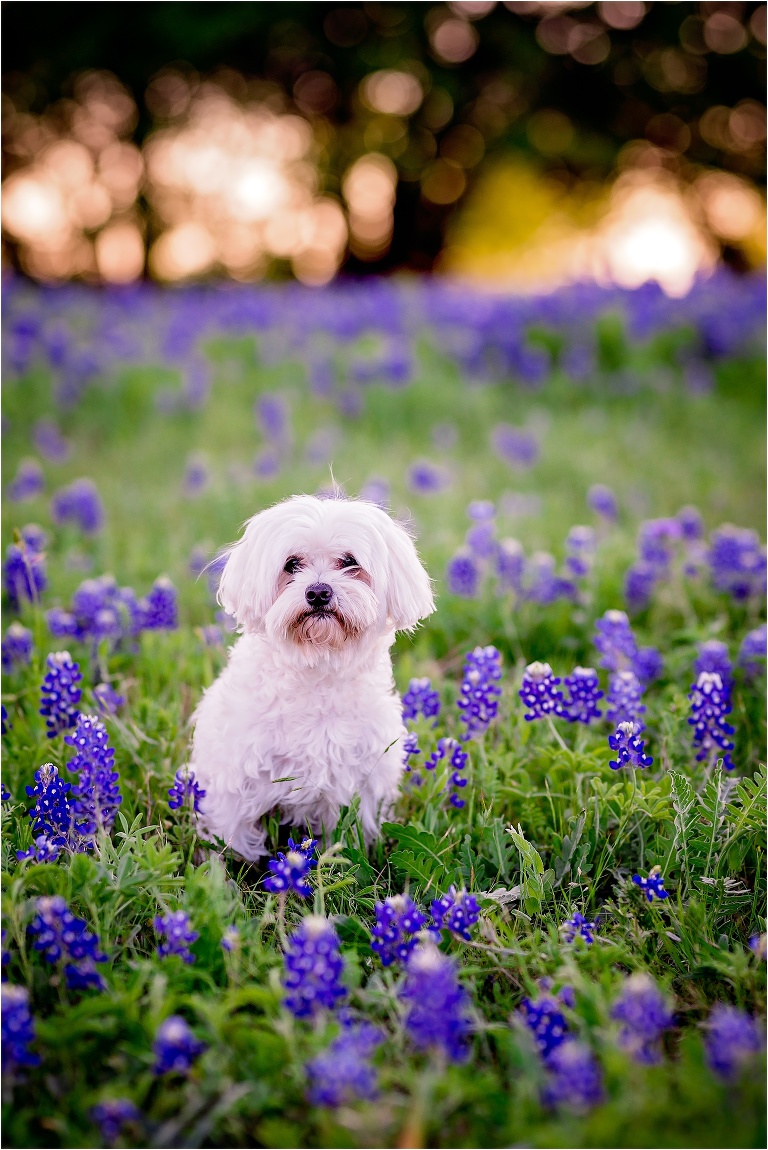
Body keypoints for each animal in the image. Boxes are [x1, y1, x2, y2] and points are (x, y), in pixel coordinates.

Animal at [188, 494, 434, 864]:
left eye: (349, 562)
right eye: (291, 565)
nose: (318, 592)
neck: (318, 667)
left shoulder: (356, 785)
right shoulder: (236, 780)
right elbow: (233, 838)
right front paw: (228, 871)